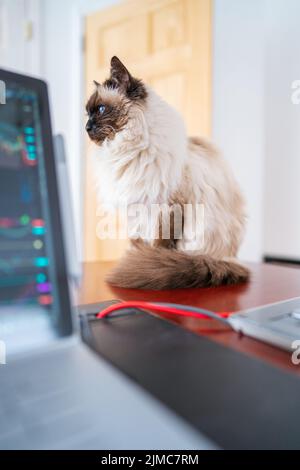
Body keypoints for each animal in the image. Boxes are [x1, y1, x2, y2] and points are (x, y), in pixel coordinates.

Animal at [85, 55, 248, 290]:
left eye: (100, 110)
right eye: (87, 113)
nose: (87, 127)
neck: (127, 150)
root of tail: (230, 259)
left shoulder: (167, 208)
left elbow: (160, 246)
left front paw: (146, 264)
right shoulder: (135, 212)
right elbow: (138, 244)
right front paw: (138, 260)